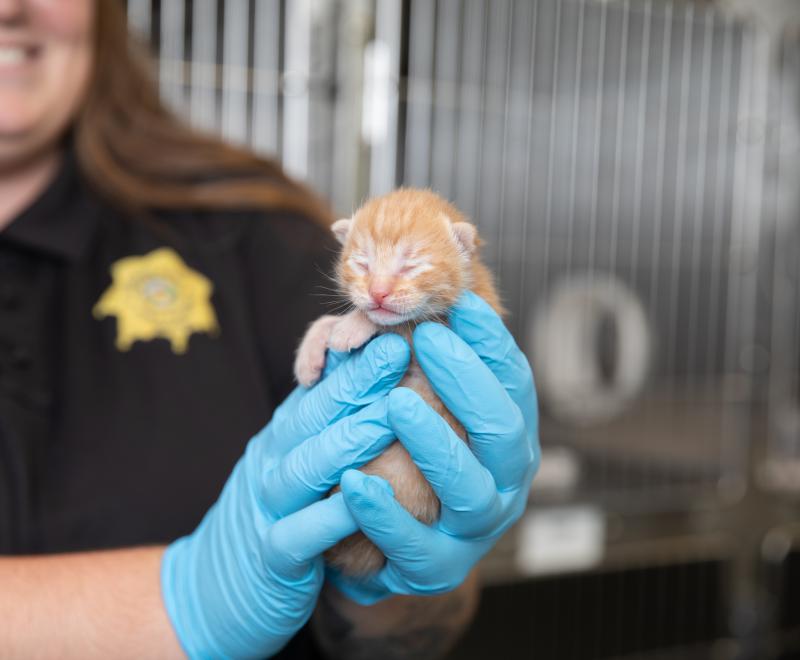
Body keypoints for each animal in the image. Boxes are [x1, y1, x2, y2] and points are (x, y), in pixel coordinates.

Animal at [294, 188, 506, 576]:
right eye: (362, 263)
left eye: (411, 265)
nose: (377, 293)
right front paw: (314, 346)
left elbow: (399, 325)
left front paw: (354, 324)